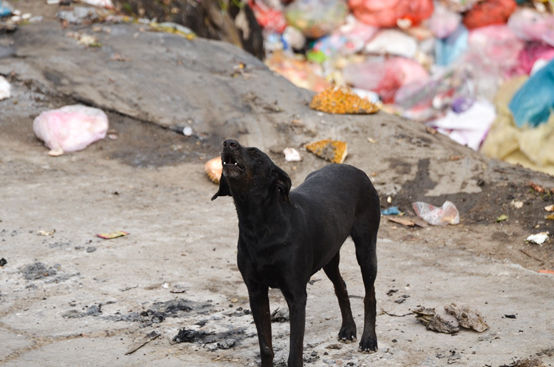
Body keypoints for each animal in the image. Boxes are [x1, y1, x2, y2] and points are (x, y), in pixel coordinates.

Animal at [211, 139, 380, 366]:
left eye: (256, 155)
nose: (229, 142)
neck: (260, 226)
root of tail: (354, 169)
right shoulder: (256, 293)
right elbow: (266, 346)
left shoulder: (297, 297)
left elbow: (295, 351)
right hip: (329, 257)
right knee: (341, 286)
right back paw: (348, 328)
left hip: (366, 250)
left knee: (369, 295)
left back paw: (369, 339)